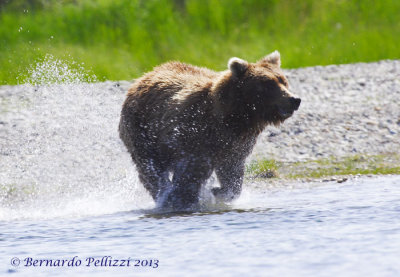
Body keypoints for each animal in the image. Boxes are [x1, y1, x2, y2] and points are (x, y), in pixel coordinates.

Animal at [119, 50, 300, 208]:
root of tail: (143, 77)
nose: (294, 99)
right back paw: (164, 194)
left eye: (284, 81)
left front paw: (218, 191)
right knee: (150, 167)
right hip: (141, 129)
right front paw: (185, 198)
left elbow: (232, 173)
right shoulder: (197, 134)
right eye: (269, 84)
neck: (236, 117)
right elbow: (192, 171)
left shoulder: (235, 144)